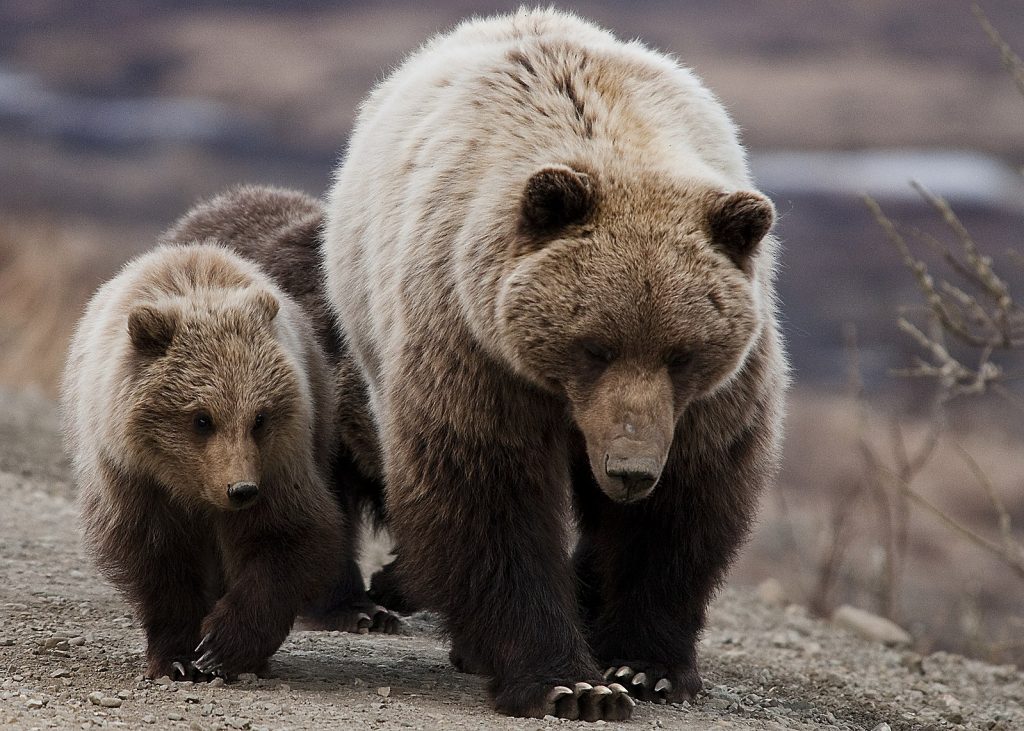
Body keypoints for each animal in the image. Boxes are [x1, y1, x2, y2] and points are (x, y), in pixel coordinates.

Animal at [61, 242, 349, 679]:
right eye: (202, 418)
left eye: (259, 418)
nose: (241, 489)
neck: (190, 486)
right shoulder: (134, 479)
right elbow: (158, 560)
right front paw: (178, 657)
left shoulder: (279, 465)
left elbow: (283, 538)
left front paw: (223, 647)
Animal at [322, 8, 787, 722]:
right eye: (594, 345)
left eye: (682, 353)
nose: (629, 470)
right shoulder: (474, 346)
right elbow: (490, 498)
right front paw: (569, 684)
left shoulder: (709, 397)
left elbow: (684, 504)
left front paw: (644, 666)